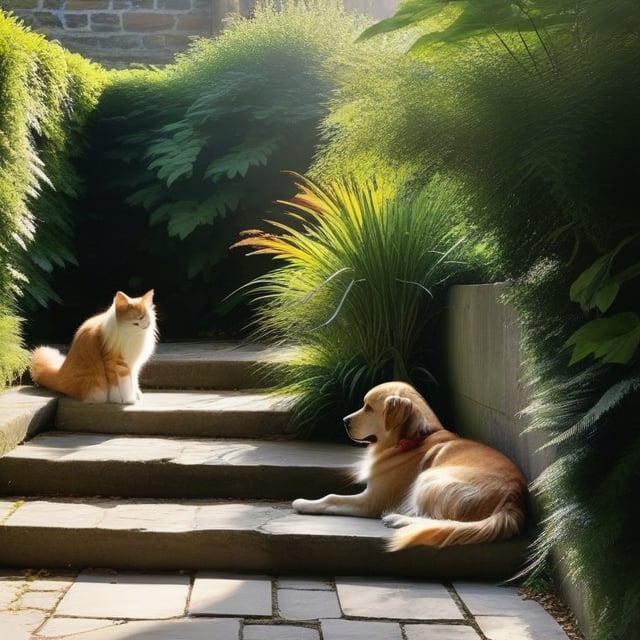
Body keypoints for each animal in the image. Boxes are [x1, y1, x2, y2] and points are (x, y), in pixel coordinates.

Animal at [30, 292, 158, 402]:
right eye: (141, 317)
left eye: (150, 317)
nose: (148, 324)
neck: (132, 334)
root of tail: (59, 374)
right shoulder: (116, 362)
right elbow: (123, 384)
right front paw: (126, 400)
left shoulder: (133, 364)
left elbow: (134, 381)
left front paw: (136, 395)